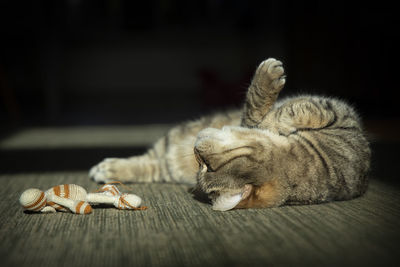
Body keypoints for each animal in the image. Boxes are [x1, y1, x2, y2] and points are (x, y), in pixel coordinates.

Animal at [89, 58, 370, 211]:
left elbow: (271, 112)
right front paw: (274, 118)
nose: (195, 152)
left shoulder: (341, 116)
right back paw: (108, 167)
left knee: (153, 167)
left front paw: (273, 121)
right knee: (150, 160)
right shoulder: (340, 114)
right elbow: (278, 110)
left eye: (206, 165)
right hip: (173, 140)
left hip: (171, 160)